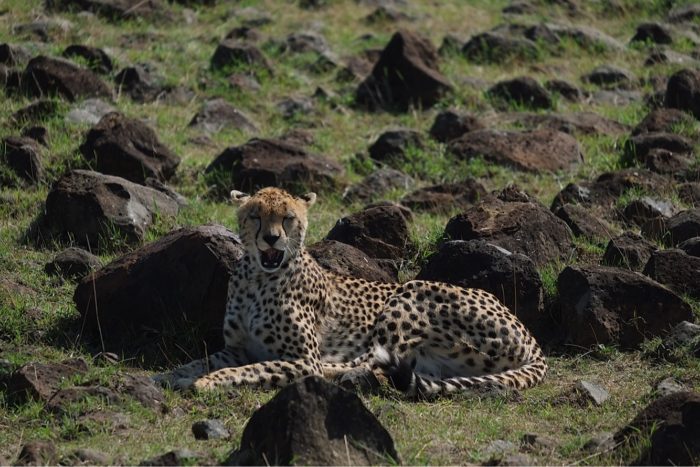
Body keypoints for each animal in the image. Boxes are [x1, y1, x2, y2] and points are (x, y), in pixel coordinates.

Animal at [154, 186, 548, 398]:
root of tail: (530, 337)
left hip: (409, 294)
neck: (258, 278)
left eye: (287, 218)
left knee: (370, 359)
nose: (272, 238)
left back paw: (340, 372)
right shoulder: (235, 348)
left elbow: (251, 369)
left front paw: (207, 382)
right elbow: (197, 361)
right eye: (256, 216)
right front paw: (165, 377)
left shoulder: (302, 358)